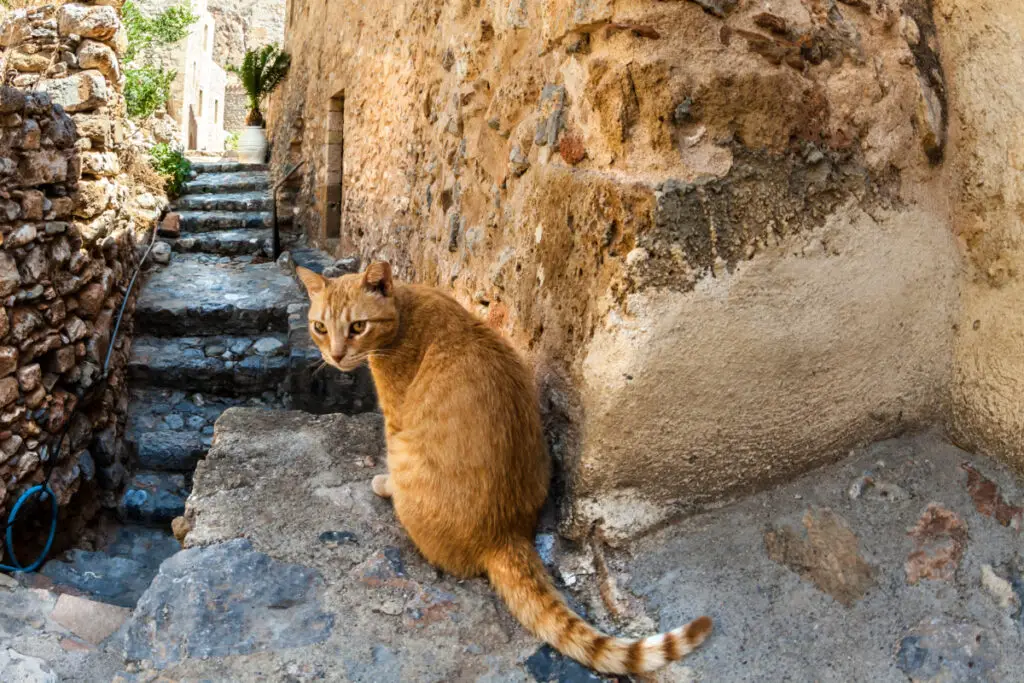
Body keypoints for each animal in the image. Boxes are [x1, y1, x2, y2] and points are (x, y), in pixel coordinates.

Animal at [296, 260, 712, 671]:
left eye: (357, 327)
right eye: (320, 328)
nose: (335, 356)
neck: (406, 310)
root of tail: (506, 535)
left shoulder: (396, 421)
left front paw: (383, 483)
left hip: (407, 456)